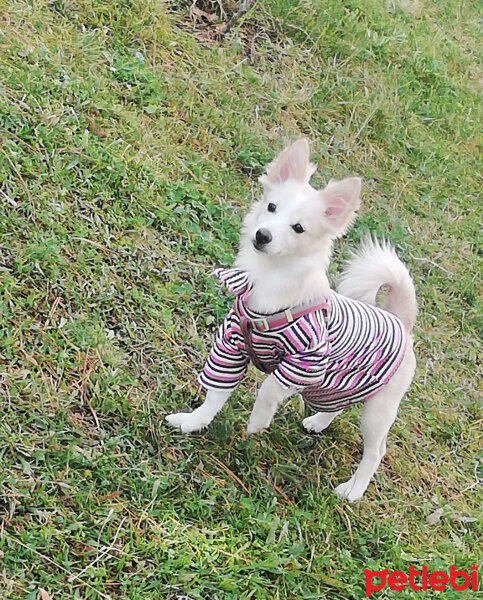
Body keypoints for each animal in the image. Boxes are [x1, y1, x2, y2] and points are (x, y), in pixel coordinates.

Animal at [166, 141, 416, 502]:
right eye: (271, 207)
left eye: (298, 228)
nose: (263, 235)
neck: (269, 280)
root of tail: (402, 321)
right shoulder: (231, 346)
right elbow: (216, 393)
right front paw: (194, 422)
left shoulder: (305, 360)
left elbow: (269, 388)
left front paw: (257, 422)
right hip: (338, 384)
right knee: (339, 404)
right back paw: (319, 422)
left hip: (377, 409)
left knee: (375, 451)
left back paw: (353, 489)